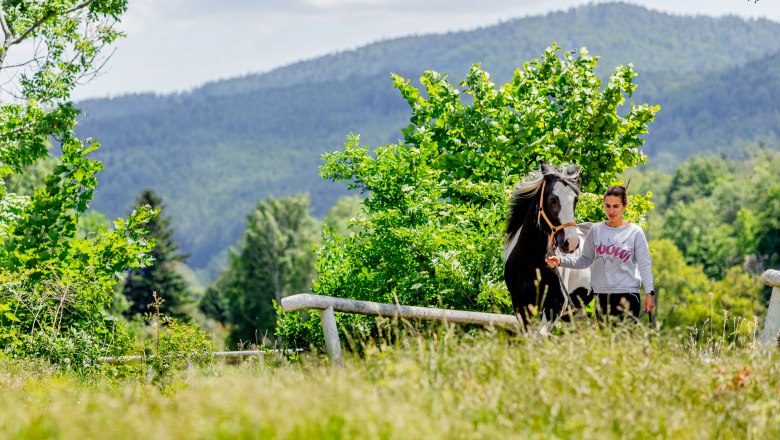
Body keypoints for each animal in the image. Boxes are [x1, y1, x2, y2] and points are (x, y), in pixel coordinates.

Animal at [503, 163, 593, 330]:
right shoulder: (521, 306)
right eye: (553, 200)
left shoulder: (555, 306)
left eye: (575, 200)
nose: (571, 243)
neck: (530, 261)